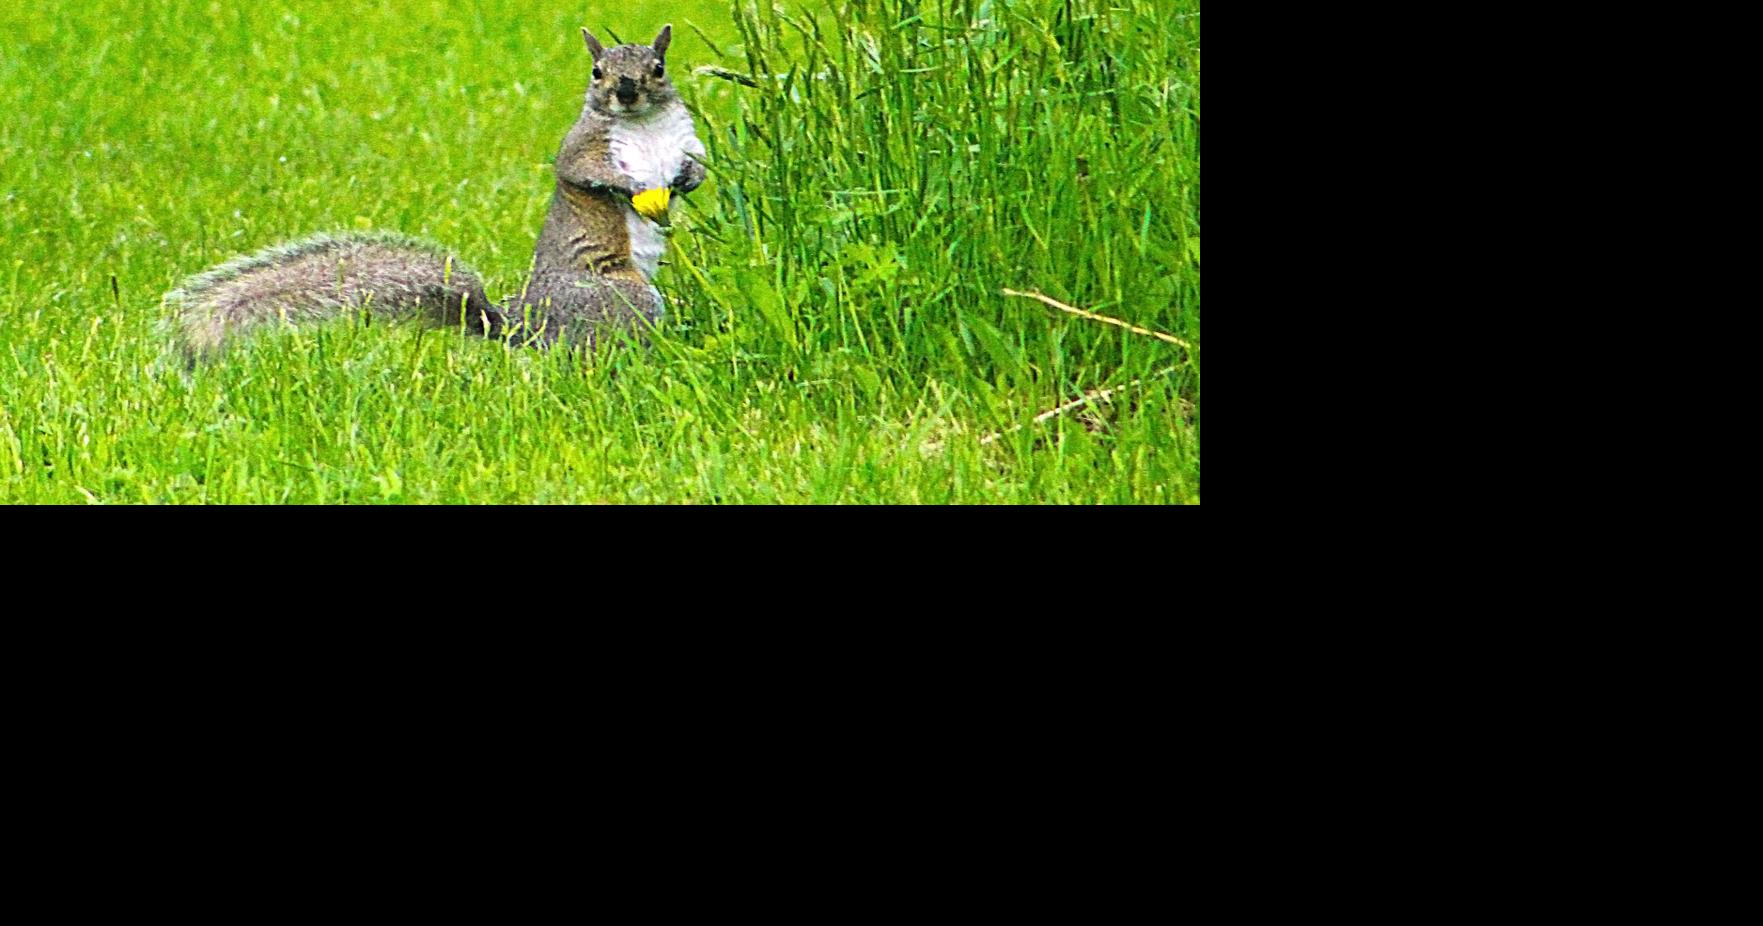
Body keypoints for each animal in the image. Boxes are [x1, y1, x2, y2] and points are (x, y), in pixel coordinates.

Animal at [166, 25, 707, 360]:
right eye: (597, 72)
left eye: (658, 66)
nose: (626, 91)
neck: (642, 125)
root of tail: (522, 324)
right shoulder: (583, 148)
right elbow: (583, 171)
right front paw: (635, 186)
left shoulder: (686, 138)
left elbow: (700, 164)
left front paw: (684, 180)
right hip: (620, 296)